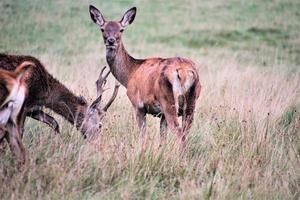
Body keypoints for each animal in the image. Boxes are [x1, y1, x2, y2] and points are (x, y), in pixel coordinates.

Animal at [89, 5, 202, 147]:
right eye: (102, 29)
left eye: (121, 30)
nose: (111, 41)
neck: (130, 73)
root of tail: (183, 71)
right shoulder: (162, 115)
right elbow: (162, 139)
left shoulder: (138, 104)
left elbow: (143, 136)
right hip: (191, 103)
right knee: (185, 133)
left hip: (168, 101)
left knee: (179, 133)